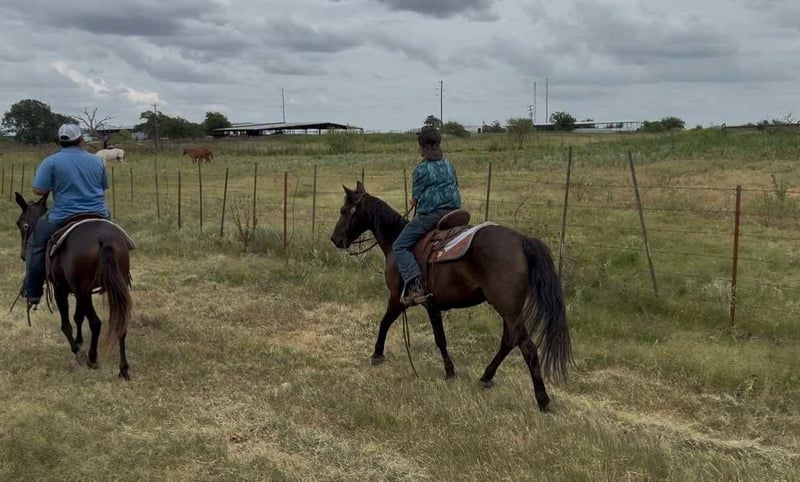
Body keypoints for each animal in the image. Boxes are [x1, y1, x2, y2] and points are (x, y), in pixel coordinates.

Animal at [15, 192, 134, 380]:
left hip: (82, 290)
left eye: (21, 223)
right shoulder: (80, 291)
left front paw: (77, 349)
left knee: (95, 323)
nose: (22, 254)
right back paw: (123, 369)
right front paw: (79, 341)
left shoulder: (61, 289)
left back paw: (92, 359)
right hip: (111, 287)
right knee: (120, 321)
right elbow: (78, 316)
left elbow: (66, 324)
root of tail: (103, 238)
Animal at [330, 182, 571, 411]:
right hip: (510, 310)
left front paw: (377, 354)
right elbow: (438, 337)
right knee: (509, 341)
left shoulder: (399, 297)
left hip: (508, 309)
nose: (335, 239)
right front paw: (449, 371)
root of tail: (521, 240)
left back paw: (542, 399)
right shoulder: (431, 304)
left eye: (343, 210)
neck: (395, 240)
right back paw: (486, 377)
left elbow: (389, 324)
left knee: (527, 348)